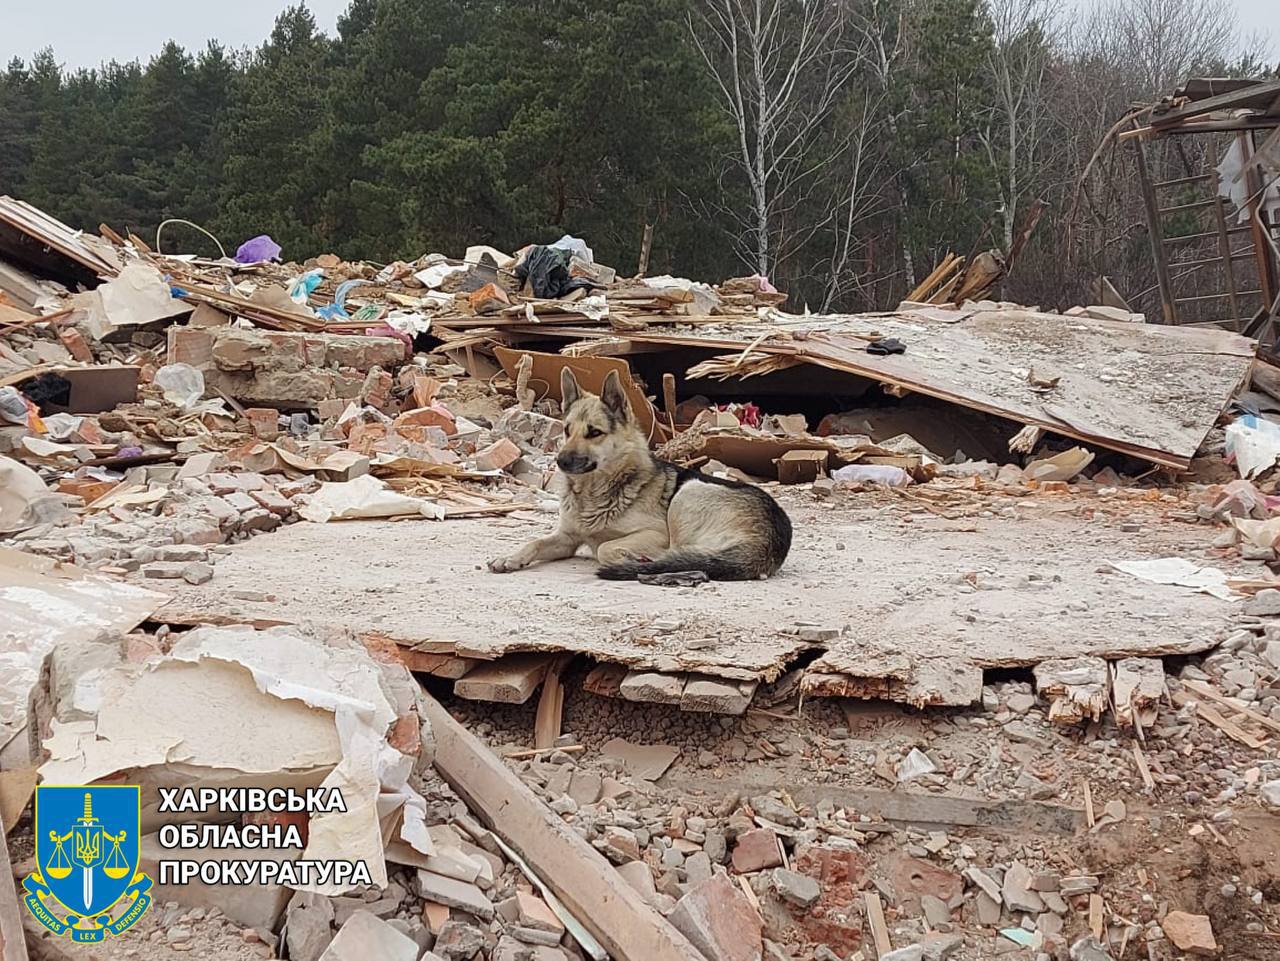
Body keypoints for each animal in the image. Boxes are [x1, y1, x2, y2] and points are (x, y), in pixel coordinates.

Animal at [486, 365, 788, 578]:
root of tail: (769, 541)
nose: (561, 462)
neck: (594, 492)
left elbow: (605, 547)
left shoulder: (656, 534)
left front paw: (630, 557)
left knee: (678, 552)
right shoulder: (567, 539)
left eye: (594, 433)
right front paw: (511, 558)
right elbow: (535, 542)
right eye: (567, 430)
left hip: (688, 493)